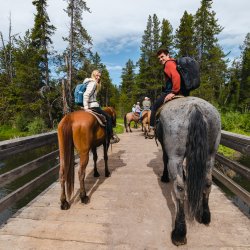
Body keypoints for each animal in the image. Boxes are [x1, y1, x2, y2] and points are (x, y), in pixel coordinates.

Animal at [156, 97, 221, 246]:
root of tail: (195, 106)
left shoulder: (168, 152)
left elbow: (164, 158)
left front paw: (164, 177)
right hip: (210, 155)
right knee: (208, 183)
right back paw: (205, 215)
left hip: (175, 157)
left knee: (180, 189)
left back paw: (179, 233)